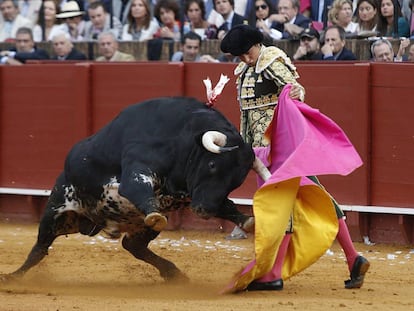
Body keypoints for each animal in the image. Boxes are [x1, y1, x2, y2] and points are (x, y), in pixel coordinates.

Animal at [0, 97, 258, 282]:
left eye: (236, 181)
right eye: (213, 165)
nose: (204, 211)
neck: (182, 136)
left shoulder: (194, 194)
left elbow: (226, 204)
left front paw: (246, 220)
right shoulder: (137, 170)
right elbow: (137, 187)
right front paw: (154, 213)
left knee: (133, 246)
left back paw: (173, 273)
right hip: (56, 211)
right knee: (39, 248)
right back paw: (13, 278)